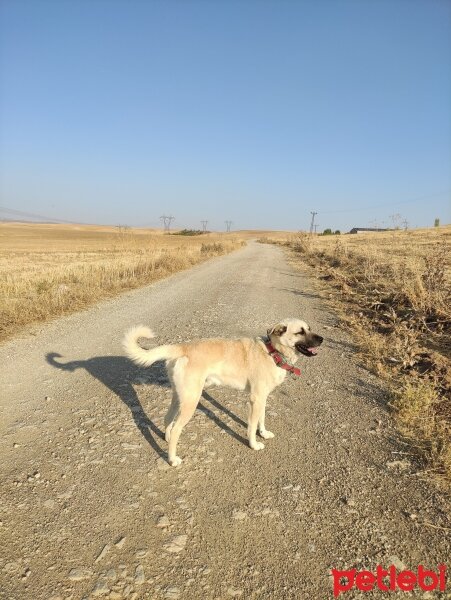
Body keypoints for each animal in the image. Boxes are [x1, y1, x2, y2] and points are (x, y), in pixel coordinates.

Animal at [122, 316, 324, 466]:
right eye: (300, 332)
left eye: (310, 328)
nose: (322, 339)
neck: (272, 352)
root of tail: (182, 347)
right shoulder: (256, 399)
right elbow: (252, 426)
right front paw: (253, 444)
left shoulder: (263, 398)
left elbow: (262, 419)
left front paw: (264, 433)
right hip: (191, 401)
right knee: (178, 427)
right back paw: (172, 459)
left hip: (179, 396)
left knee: (167, 419)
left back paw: (166, 438)